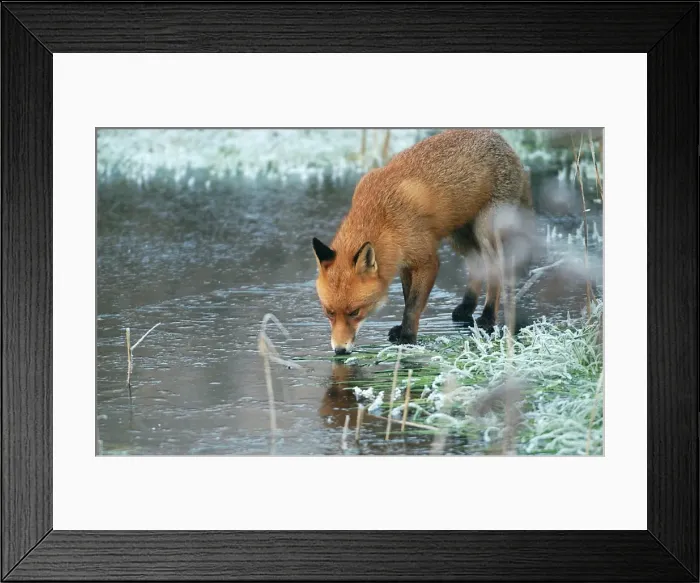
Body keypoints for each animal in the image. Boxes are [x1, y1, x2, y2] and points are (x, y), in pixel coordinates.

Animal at [312, 129, 534, 355]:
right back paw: (466, 308)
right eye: (329, 312)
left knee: (495, 269)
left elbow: (413, 306)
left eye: (355, 312)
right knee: (477, 264)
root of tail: (503, 140)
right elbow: (406, 297)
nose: (339, 350)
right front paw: (402, 330)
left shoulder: (427, 261)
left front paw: (408, 338)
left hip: (484, 231)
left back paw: (487, 317)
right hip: (459, 236)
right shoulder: (403, 261)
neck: (384, 217)